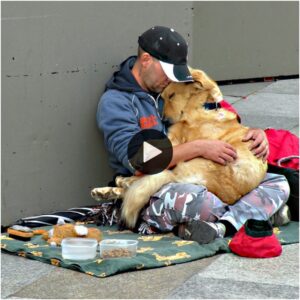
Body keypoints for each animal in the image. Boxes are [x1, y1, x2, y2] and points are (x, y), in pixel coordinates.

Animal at [91, 69, 268, 227]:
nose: (164, 119)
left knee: (137, 185)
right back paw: (106, 191)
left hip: (179, 170)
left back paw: (114, 185)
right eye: (163, 97)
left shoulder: (176, 141)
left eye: (172, 95)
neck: (204, 106)